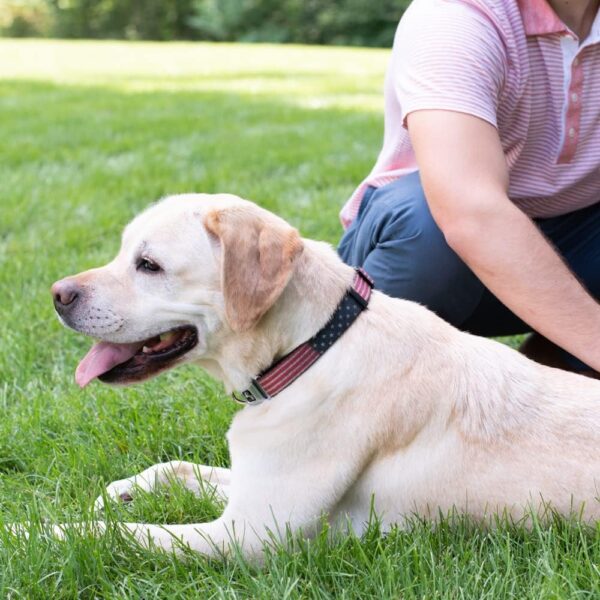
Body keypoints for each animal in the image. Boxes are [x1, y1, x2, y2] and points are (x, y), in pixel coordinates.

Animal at [52, 196, 600, 556]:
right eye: (123, 253)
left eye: (148, 265)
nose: (58, 294)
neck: (311, 348)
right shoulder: (248, 489)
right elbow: (177, 469)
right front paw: (121, 491)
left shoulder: (247, 534)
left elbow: (116, 532)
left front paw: (40, 532)